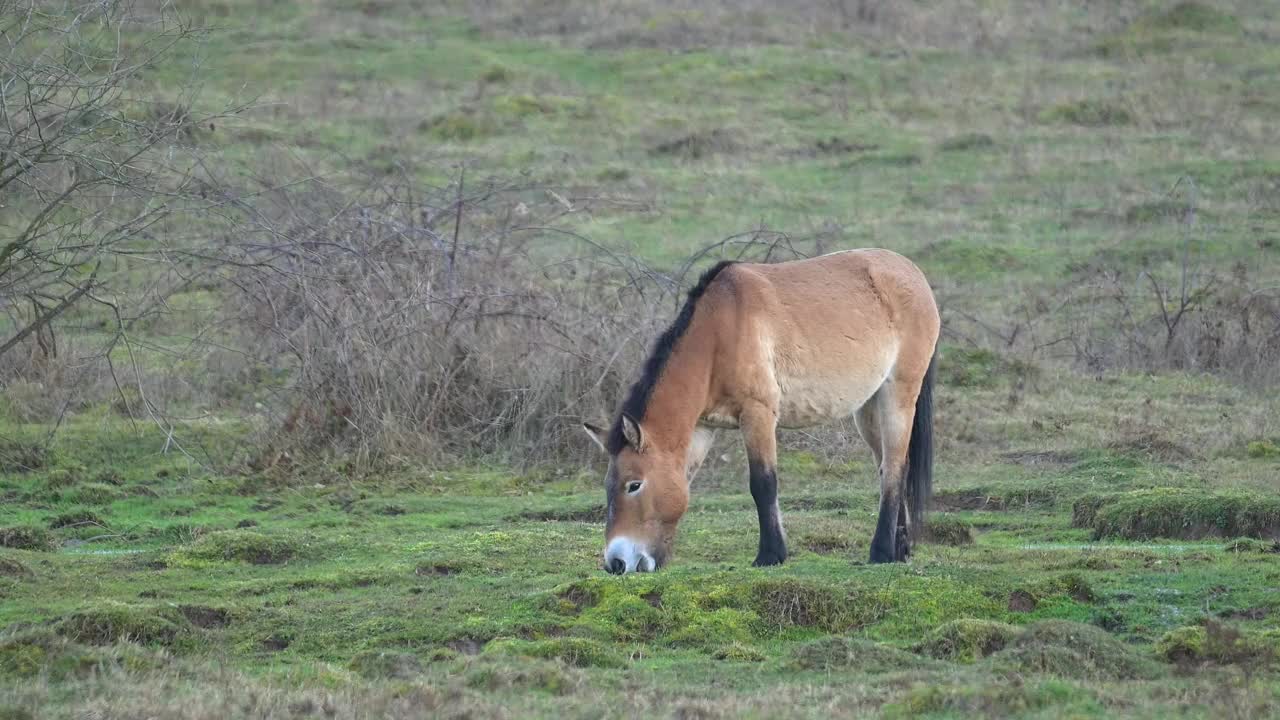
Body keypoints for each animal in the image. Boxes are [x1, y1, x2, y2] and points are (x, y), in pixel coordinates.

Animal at [583, 248, 942, 571]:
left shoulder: (758, 414)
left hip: (897, 395)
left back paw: (881, 552)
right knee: (890, 466)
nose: (615, 563)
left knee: (893, 467)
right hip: (867, 408)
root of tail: (915, 275)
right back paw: (900, 549)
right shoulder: (702, 429)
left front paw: (770, 555)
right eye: (608, 486)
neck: (718, 333)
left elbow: (763, 483)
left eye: (634, 485)